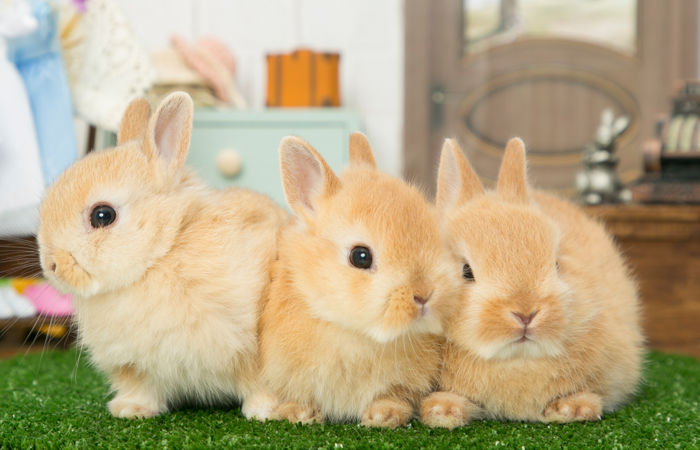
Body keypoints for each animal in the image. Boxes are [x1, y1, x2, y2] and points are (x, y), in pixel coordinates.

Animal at [37, 93, 290, 420]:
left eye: (103, 215)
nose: (51, 266)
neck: (162, 252)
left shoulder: (253, 345)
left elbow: (260, 381)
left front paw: (263, 411)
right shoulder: (134, 367)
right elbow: (142, 389)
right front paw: (131, 409)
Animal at [258, 134, 464, 428]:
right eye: (360, 256)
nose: (424, 294)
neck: (353, 331)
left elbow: (393, 396)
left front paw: (383, 416)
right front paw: (299, 414)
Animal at [422, 138, 644, 428]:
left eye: (557, 265)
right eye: (466, 271)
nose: (526, 313)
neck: (518, 360)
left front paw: (572, 409)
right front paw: (442, 412)